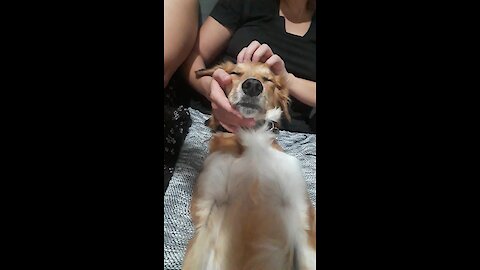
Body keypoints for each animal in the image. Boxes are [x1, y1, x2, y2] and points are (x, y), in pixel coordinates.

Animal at [181, 61, 316, 270]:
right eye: (235, 73)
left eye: (268, 79)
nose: (252, 85)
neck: (253, 136)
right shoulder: (206, 212)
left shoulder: (303, 215)